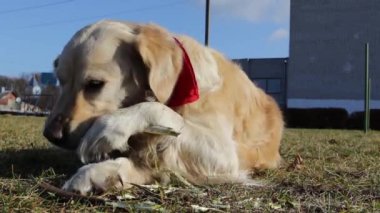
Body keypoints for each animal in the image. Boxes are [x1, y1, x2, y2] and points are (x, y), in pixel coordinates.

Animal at [43, 20, 284, 195]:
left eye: (95, 84)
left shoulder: (224, 153)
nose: (51, 134)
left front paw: (107, 130)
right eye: (60, 81)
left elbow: (161, 111)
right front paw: (98, 175)